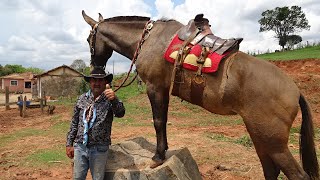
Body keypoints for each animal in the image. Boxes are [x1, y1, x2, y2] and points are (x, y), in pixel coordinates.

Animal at [82, 10, 318, 179]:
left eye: (87, 40)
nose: (95, 68)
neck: (150, 39)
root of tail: (295, 90)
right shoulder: (163, 90)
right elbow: (163, 121)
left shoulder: (155, 87)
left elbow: (158, 121)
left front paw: (158, 156)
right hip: (260, 136)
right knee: (271, 170)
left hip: (274, 142)